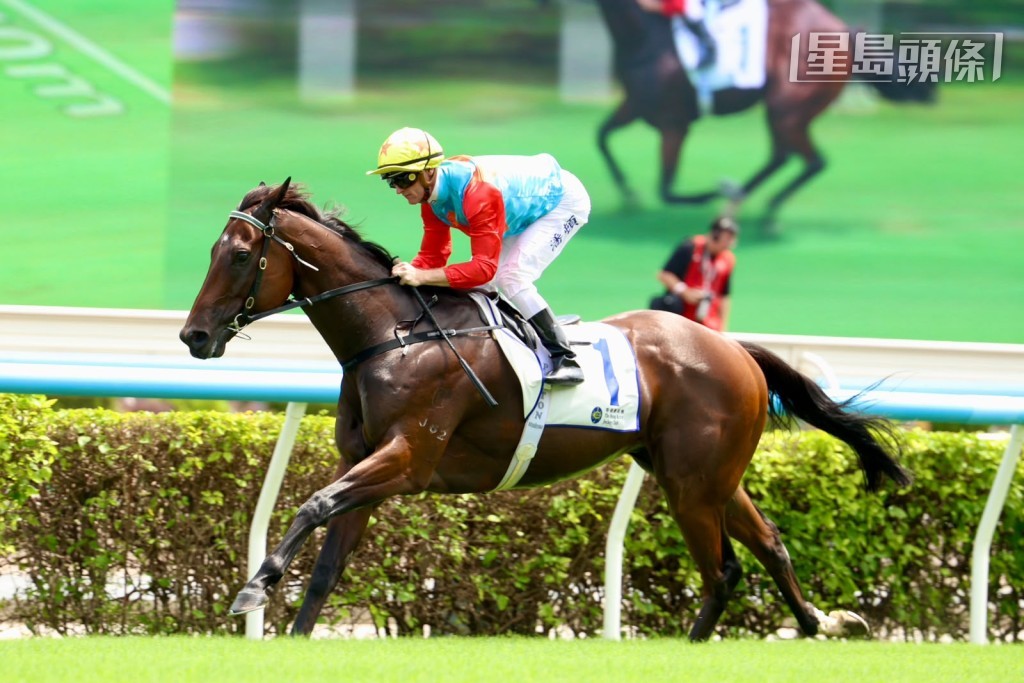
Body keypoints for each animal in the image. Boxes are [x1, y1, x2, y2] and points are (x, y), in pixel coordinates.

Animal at [179, 179, 911, 640]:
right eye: (211, 250)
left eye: (239, 254)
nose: (193, 335)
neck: (395, 335)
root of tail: (732, 347)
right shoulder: (366, 464)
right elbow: (328, 562)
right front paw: (293, 630)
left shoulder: (407, 458)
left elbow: (313, 505)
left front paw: (252, 588)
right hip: (704, 474)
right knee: (767, 545)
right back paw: (825, 621)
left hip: (692, 482)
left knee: (723, 568)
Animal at [594, 0, 935, 232]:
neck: (645, 34)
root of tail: (843, 30)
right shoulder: (636, 106)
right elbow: (602, 137)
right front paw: (628, 194)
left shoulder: (674, 123)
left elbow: (666, 189)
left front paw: (710, 193)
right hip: (786, 112)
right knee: (785, 158)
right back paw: (743, 203)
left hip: (787, 107)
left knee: (809, 160)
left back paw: (757, 209)